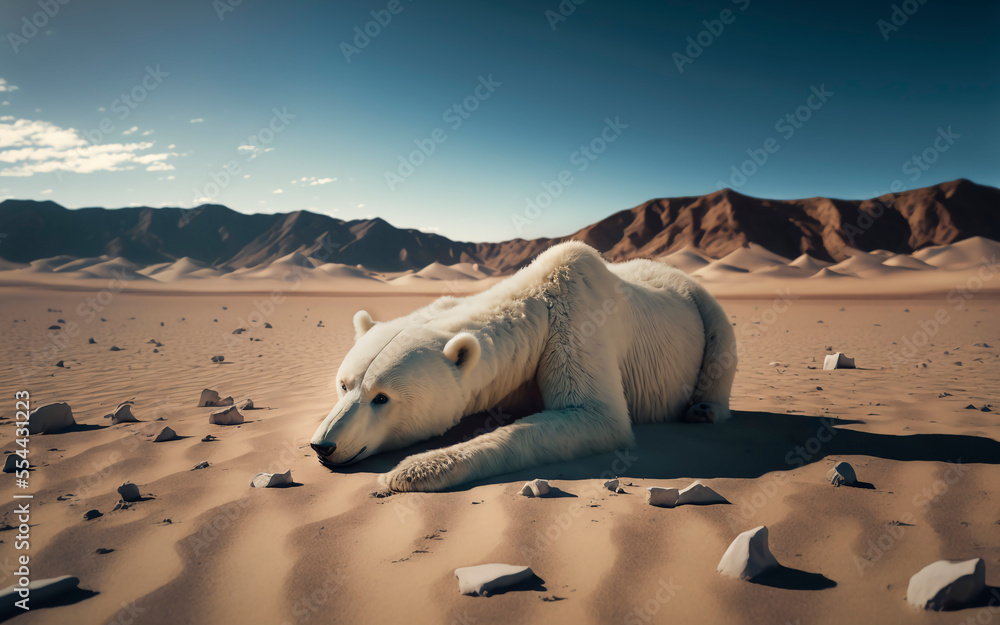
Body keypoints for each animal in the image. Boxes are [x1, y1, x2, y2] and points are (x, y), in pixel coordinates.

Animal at [309, 241, 737, 493]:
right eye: (344, 384)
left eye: (382, 398)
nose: (323, 445)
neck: (540, 298)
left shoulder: (577, 328)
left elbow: (595, 415)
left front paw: (410, 470)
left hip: (704, 309)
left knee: (721, 348)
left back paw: (703, 409)